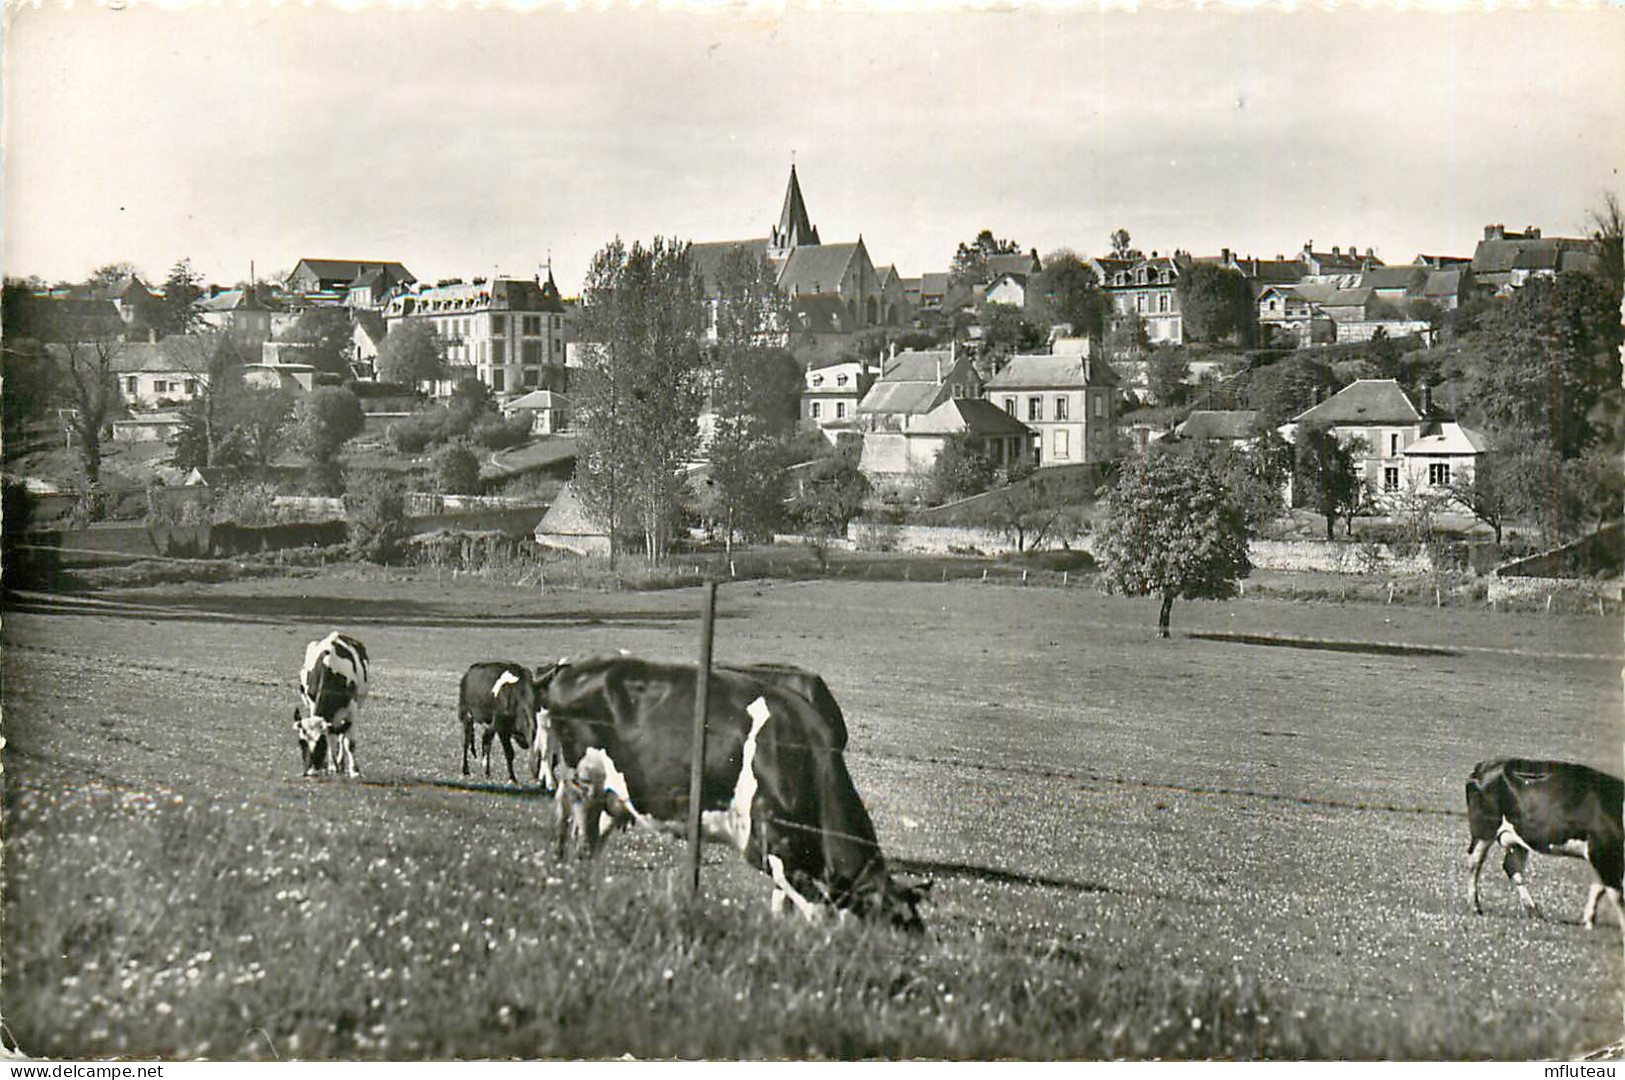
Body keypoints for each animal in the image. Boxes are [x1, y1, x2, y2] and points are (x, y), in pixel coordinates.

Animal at [294, 633, 370, 776]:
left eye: (321, 743)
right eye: (301, 743)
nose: (310, 772)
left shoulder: (352, 710)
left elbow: (349, 743)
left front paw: (354, 770)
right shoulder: (313, 704)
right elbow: (332, 738)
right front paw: (331, 766)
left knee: (341, 736)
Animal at [526, 652, 923, 928]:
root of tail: (572, 667)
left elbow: (781, 906)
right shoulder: (778, 849)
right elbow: (815, 915)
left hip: (616, 793)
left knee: (584, 833)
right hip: (584, 781)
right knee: (581, 834)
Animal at [1469, 756, 1618, 928]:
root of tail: (1484, 765)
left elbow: (1600, 886)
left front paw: (1589, 919)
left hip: (1519, 836)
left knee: (1511, 866)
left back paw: (1533, 911)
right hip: (1484, 830)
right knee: (1474, 863)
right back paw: (1475, 906)